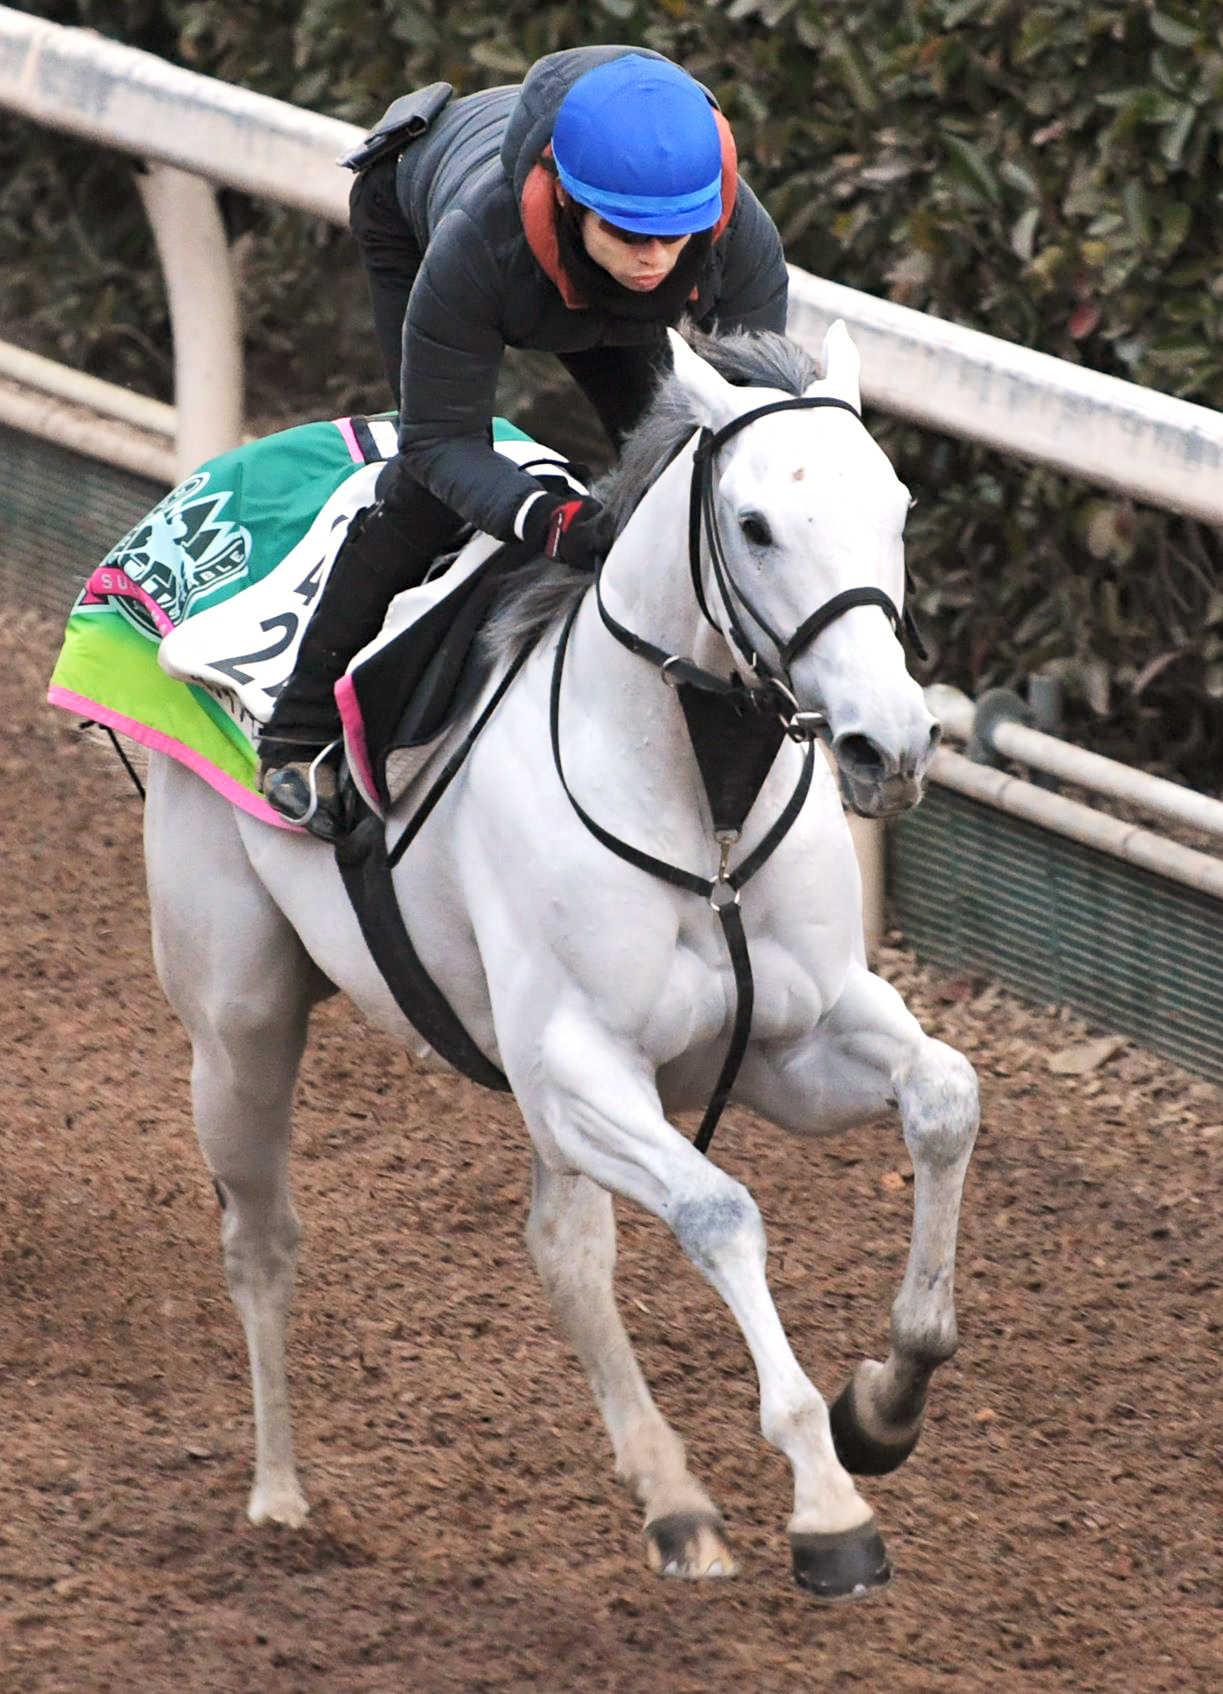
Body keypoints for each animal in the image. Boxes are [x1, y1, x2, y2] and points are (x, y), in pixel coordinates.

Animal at [140, 320, 968, 1599]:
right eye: (754, 525)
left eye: (894, 505)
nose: (892, 741)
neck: (697, 801)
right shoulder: (577, 1061)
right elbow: (719, 1208)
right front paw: (827, 1500)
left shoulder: (788, 1035)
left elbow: (942, 1095)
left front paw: (882, 1403)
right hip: (237, 1020)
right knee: (262, 1239)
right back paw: (277, 1495)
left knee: (563, 1250)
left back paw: (675, 1502)